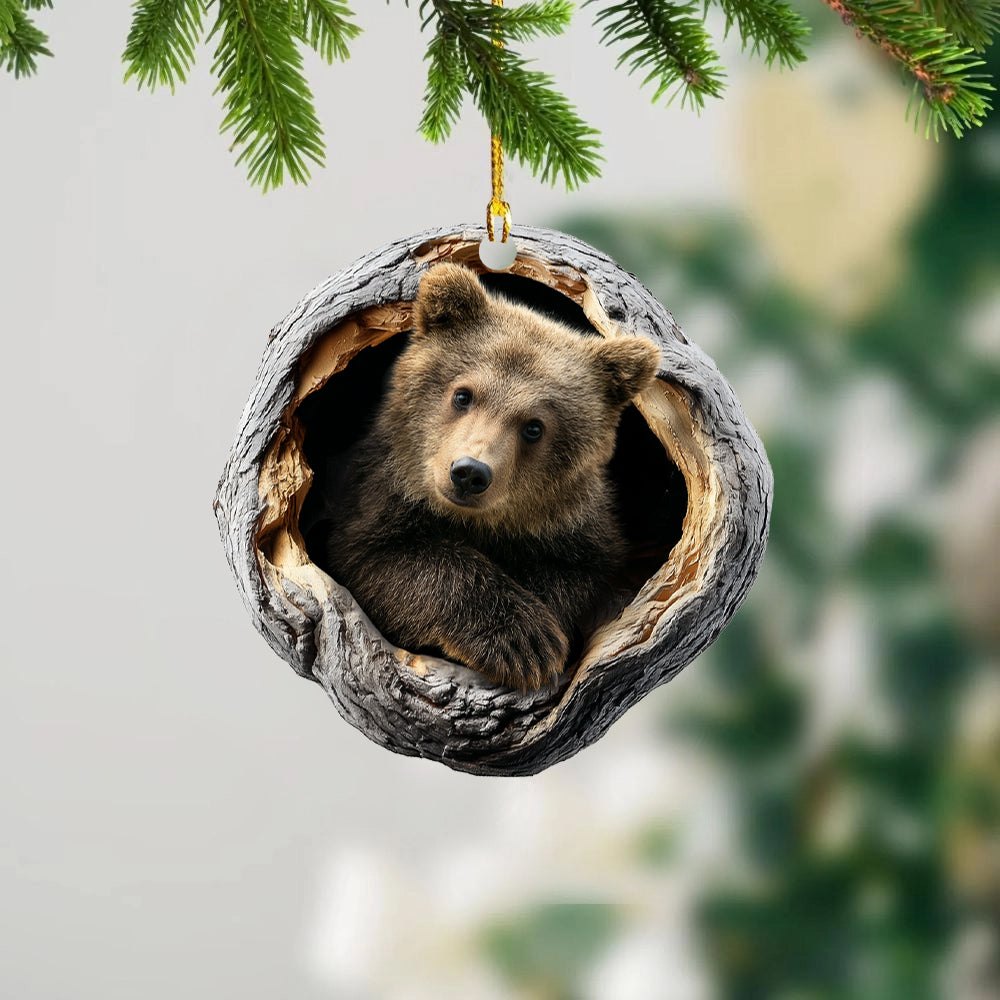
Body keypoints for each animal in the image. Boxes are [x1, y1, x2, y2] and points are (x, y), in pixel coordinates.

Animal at [325, 262, 662, 691]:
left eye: (534, 427)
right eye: (463, 395)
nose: (469, 473)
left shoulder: (579, 533)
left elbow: (579, 574)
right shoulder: (374, 502)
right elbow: (388, 561)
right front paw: (521, 641)